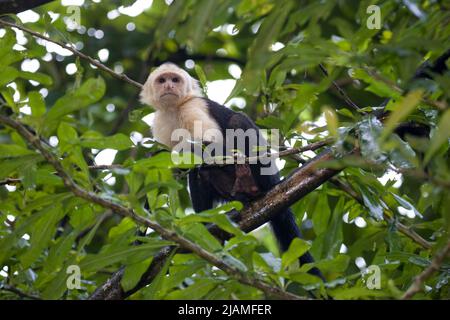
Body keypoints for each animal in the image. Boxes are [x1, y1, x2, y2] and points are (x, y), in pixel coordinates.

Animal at [141, 61, 324, 278]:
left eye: (175, 80)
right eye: (162, 80)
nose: (169, 86)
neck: (174, 109)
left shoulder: (194, 106)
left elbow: (214, 145)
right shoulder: (159, 123)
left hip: (266, 175)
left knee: (238, 121)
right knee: (201, 173)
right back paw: (209, 219)